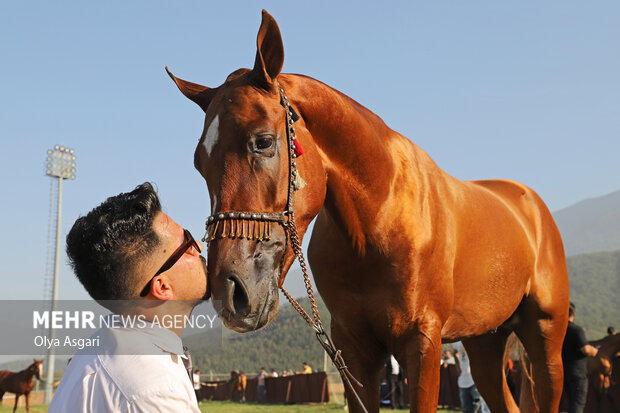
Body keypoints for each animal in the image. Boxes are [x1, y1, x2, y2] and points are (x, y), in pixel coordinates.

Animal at [167, 9, 568, 412]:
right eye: (200, 163)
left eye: (262, 141)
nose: (228, 290)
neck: (377, 224)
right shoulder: (354, 349)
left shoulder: (423, 343)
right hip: (485, 340)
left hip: (546, 339)